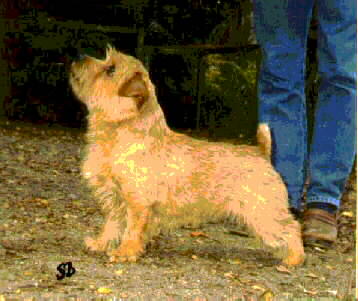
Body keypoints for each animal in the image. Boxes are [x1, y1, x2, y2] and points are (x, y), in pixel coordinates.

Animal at [68, 45, 304, 264]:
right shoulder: (114, 199)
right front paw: (100, 244)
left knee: (292, 227)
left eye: (111, 69)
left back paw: (294, 259)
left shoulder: (137, 202)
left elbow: (132, 229)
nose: (78, 55)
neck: (121, 133)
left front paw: (125, 253)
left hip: (264, 213)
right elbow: (112, 225)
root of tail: (261, 152)